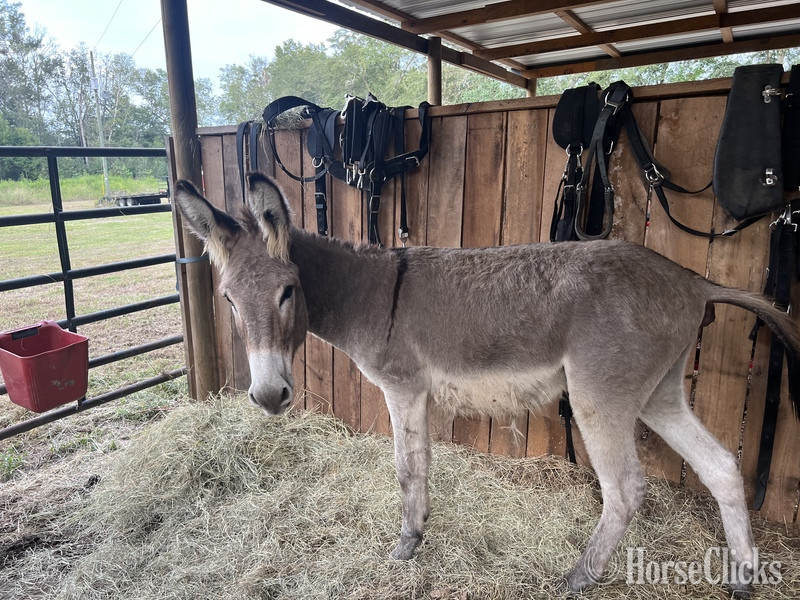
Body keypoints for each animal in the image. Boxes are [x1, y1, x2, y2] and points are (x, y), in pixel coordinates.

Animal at [174, 172, 800, 598]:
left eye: (287, 291)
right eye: (229, 300)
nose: (268, 396)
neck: (370, 292)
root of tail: (693, 281)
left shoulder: (402, 387)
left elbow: (407, 468)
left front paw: (405, 546)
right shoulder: (418, 393)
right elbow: (424, 465)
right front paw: (419, 533)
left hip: (601, 395)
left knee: (625, 488)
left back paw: (578, 577)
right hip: (659, 393)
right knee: (721, 465)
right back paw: (743, 576)